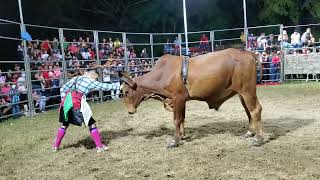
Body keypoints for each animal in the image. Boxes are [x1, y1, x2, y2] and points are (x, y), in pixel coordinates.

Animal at [120, 48, 262, 148]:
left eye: (126, 92)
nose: (130, 111)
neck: (162, 74)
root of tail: (248, 53)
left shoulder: (177, 98)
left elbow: (176, 120)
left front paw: (174, 141)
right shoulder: (182, 101)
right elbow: (182, 119)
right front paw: (182, 136)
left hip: (247, 91)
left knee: (255, 110)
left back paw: (258, 139)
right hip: (241, 94)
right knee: (248, 111)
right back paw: (250, 133)